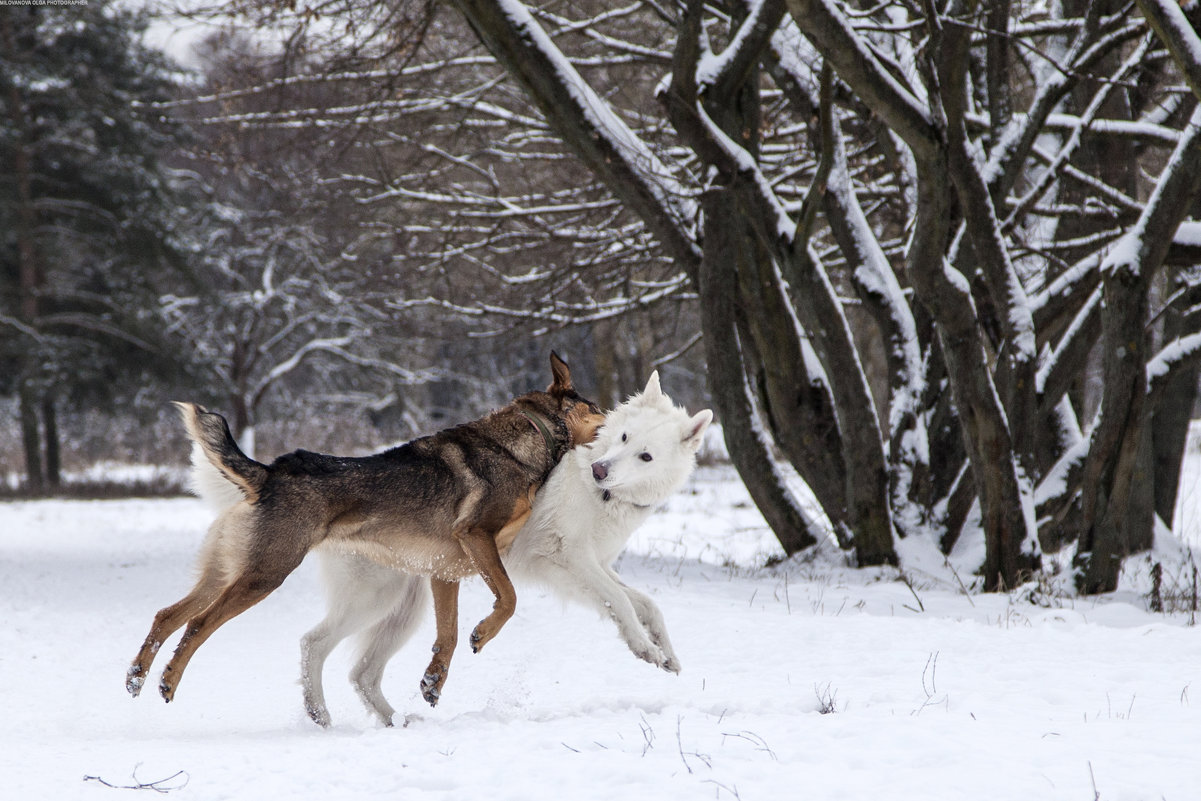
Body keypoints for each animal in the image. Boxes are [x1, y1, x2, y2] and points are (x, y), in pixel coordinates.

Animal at [126, 353, 605, 706]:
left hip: (230, 570)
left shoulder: (444, 570)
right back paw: (168, 679)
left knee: (167, 614)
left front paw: (434, 680)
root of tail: (270, 473)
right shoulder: (475, 537)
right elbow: (507, 599)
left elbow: (446, 636)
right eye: (599, 409)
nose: (617, 412)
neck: (532, 437)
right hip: (264, 574)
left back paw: (137, 676)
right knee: (198, 623)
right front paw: (482, 634)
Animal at [300, 372, 710, 730]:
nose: (599, 470)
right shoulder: (569, 560)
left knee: (363, 673)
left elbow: (645, 604)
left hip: (404, 610)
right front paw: (644, 648)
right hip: (375, 600)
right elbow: (622, 601)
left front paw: (664, 653)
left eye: (646, 456)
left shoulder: (591, 567)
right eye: (624, 437)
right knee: (314, 644)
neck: (602, 494)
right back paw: (321, 714)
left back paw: (397, 720)